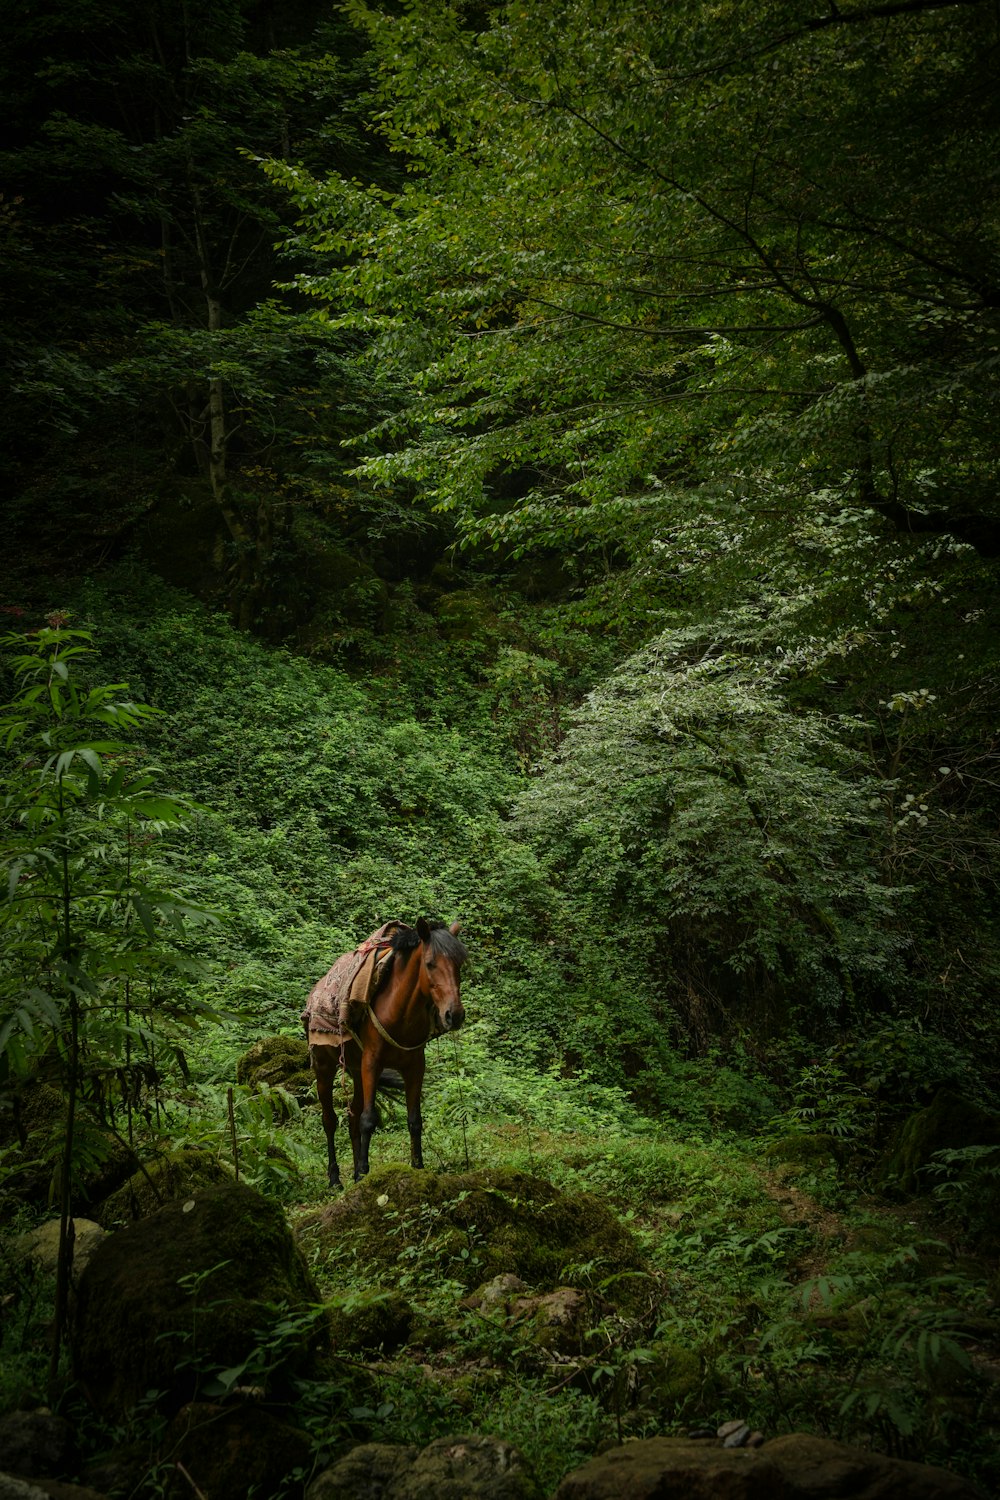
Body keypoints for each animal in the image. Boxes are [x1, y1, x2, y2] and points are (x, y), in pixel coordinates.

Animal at [307, 918, 467, 1188]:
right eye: (430, 963)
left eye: (459, 964)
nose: (454, 1015)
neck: (400, 1012)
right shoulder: (372, 1062)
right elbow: (369, 1119)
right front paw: (364, 1172)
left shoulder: (415, 1066)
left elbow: (414, 1120)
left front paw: (417, 1168)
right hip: (324, 1067)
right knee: (329, 1120)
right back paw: (335, 1178)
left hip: (356, 1070)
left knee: (352, 1118)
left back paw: (352, 1175)